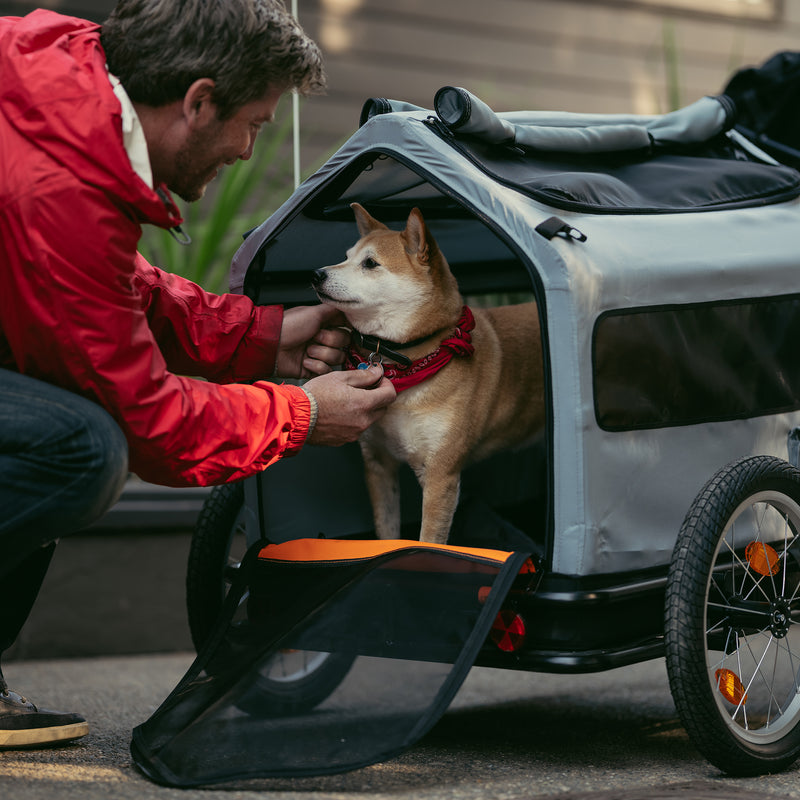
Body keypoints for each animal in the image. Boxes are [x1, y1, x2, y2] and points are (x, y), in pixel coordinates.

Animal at [312, 203, 544, 548]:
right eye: (346, 256)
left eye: (370, 263)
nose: (316, 274)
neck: (406, 360)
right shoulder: (379, 463)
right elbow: (387, 530)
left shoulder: (440, 476)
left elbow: (429, 540)